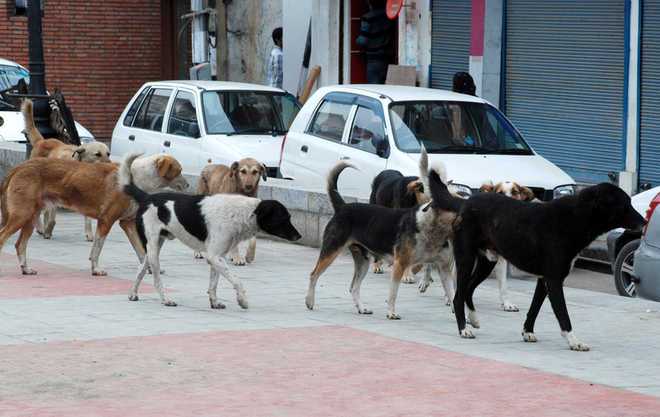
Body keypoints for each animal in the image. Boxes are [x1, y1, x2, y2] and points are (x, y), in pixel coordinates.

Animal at [1, 153, 189, 276]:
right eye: (179, 171)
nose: (188, 185)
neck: (135, 178)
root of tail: (20, 166)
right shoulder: (106, 221)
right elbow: (97, 248)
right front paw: (96, 270)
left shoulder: (127, 223)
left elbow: (142, 251)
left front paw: (149, 269)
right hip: (21, 215)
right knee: (4, 238)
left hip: (30, 218)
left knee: (20, 244)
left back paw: (26, 269)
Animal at [21, 99, 111, 240]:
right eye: (97, 154)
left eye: (108, 154)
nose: (111, 165)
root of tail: (42, 141)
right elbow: (52, 218)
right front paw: (48, 231)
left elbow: (88, 219)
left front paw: (89, 234)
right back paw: (41, 228)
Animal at [119, 154, 302, 308]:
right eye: (284, 218)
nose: (299, 236)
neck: (242, 213)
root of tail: (147, 197)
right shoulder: (214, 257)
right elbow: (237, 281)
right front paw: (242, 300)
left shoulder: (217, 257)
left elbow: (214, 284)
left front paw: (214, 302)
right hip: (153, 249)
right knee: (156, 279)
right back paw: (166, 300)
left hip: (154, 247)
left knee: (141, 269)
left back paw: (133, 294)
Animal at [438, 177, 644, 350]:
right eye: (625, 205)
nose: (644, 222)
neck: (576, 217)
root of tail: (466, 202)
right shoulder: (554, 279)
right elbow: (563, 314)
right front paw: (574, 341)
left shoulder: (544, 279)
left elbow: (534, 308)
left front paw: (527, 332)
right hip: (466, 259)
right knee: (458, 295)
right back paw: (463, 328)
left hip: (488, 261)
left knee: (469, 289)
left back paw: (473, 318)